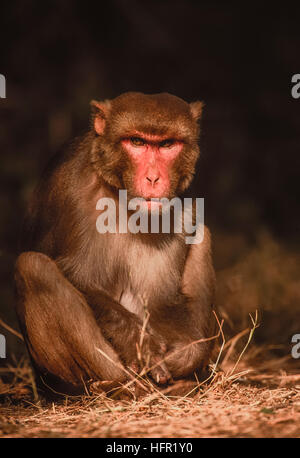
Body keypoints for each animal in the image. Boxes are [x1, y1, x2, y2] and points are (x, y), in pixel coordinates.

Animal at [14, 91, 217, 396]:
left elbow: (160, 301)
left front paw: (185, 353)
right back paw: (113, 387)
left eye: (167, 144)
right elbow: (82, 279)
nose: (154, 178)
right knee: (33, 267)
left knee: (202, 237)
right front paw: (140, 345)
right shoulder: (78, 190)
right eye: (137, 142)